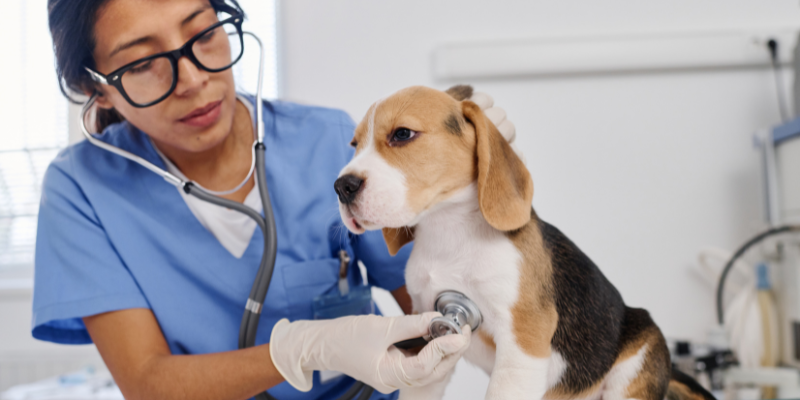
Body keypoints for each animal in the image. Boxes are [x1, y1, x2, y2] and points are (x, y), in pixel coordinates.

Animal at [334, 85, 708, 400]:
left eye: (402, 134)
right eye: (353, 145)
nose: (342, 187)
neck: (449, 232)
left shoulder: (522, 344)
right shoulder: (430, 334)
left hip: (633, 363)